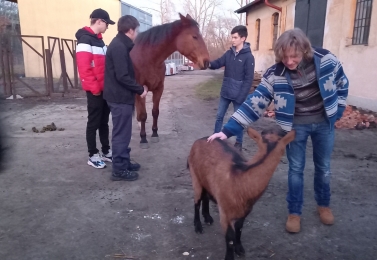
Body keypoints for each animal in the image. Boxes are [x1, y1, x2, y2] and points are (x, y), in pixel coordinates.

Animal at [131, 14, 210, 148]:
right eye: (194, 36)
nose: (206, 61)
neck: (148, 58)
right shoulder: (141, 91)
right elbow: (143, 115)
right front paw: (143, 138)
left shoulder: (159, 89)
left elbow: (155, 112)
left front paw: (154, 134)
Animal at [187, 127, 296, 258]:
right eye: (264, 133)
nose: (283, 129)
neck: (239, 179)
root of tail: (201, 140)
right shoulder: (225, 213)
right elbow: (229, 238)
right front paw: (229, 256)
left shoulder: (244, 211)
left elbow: (239, 228)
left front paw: (239, 249)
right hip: (195, 175)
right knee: (197, 200)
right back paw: (198, 226)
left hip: (206, 180)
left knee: (205, 196)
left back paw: (208, 218)